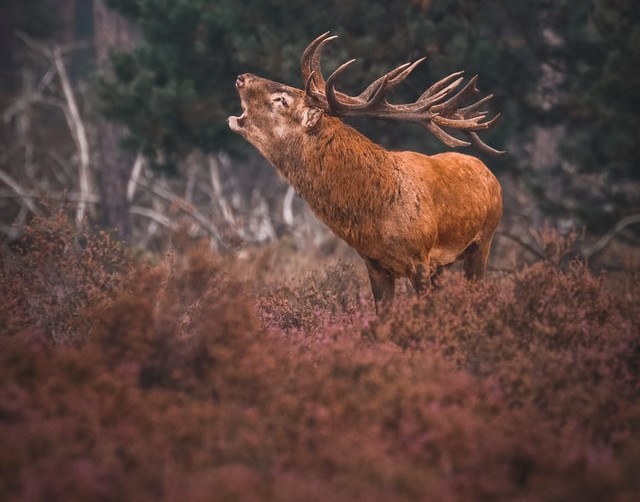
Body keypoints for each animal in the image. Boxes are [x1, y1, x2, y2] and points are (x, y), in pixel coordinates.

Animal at [229, 32, 504, 310]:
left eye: (282, 100)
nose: (242, 77)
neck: (376, 216)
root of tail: (489, 172)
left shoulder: (421, 259)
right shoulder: (375, 264)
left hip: (484, 240)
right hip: (444, 264)